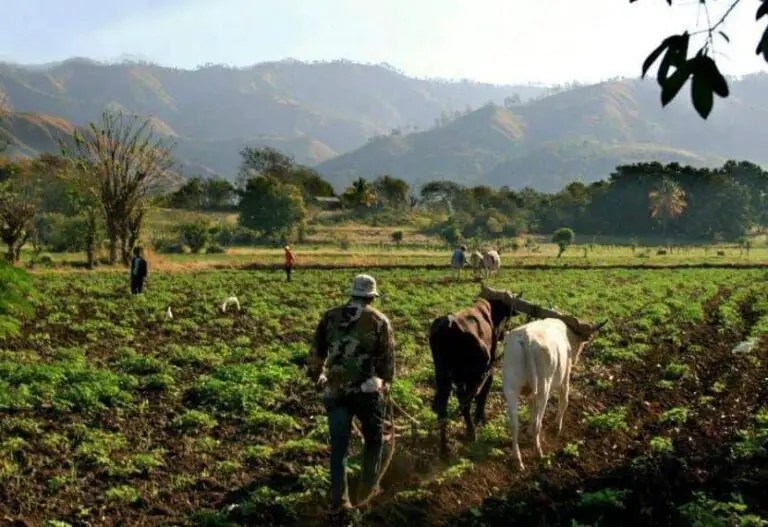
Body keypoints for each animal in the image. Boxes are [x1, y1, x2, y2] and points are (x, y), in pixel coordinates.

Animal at [504, 318, 608, 470]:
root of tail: (526, 337)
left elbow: (531, 410)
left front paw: (528, 431)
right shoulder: (565, 379)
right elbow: (564, 401)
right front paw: (557, 427)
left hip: (511, 388)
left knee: (514, 424)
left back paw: (517, 459)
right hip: (543, 389)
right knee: (537, 422)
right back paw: (538, 452)